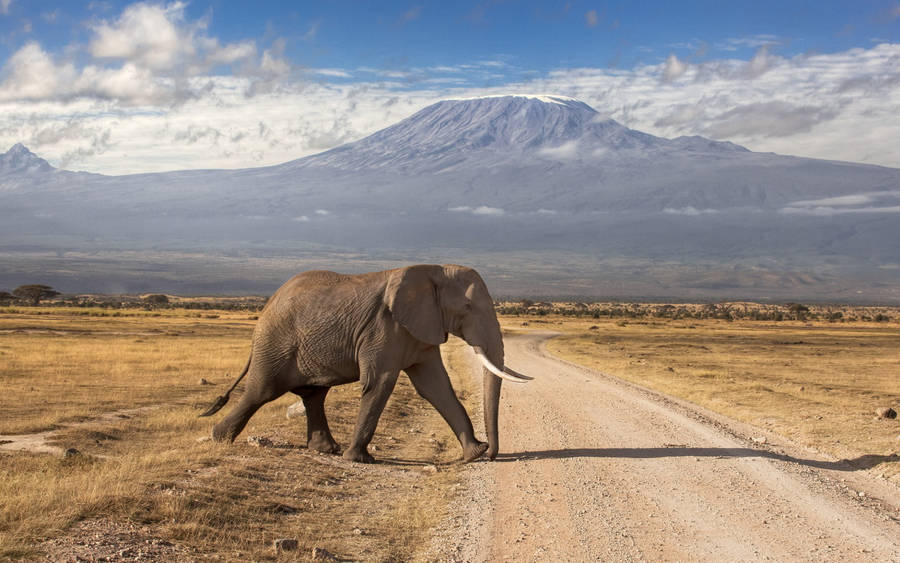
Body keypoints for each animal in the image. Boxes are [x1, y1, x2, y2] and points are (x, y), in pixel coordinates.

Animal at [199, 264, 531, 463]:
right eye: (467, 306)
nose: (492, 454)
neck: (433, 270)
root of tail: (268, 304)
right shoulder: (383, 327)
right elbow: (380, 383)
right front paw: (359, 460)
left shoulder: (420, 329)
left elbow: (436, 388)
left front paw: (473, 453)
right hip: (276, 343)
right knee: (261, 391)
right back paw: (219, 439)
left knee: (313, 395)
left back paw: (326, 450)